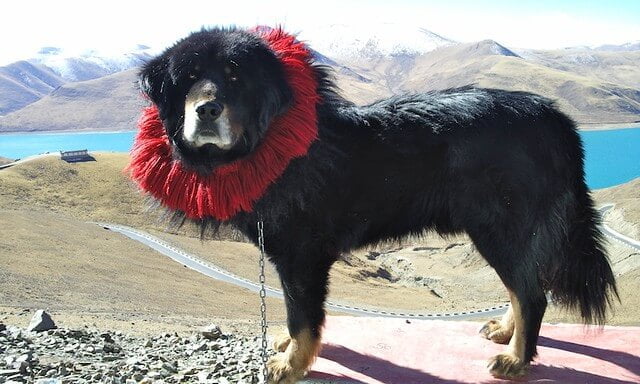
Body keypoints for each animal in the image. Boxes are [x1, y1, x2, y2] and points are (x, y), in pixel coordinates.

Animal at [132, 25, 616, 382]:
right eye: (188, 78)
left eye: (234, 76)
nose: (207, 110)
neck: (275, 143)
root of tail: (554, 116)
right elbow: (293, 313)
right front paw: (288, 348)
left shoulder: (302, 256)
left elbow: (302, 316)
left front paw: (292, 363)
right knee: (522, 288)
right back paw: (506, 333)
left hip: (503, 227)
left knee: (531, 293)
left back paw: (517, 359)